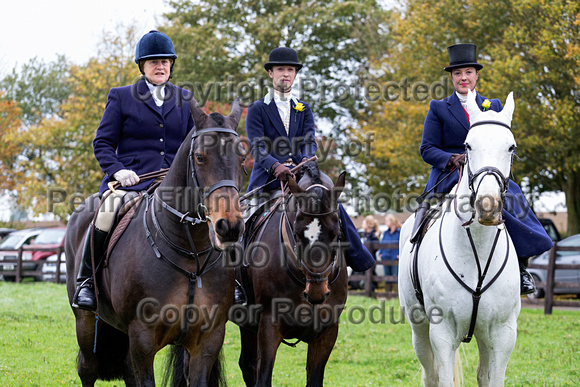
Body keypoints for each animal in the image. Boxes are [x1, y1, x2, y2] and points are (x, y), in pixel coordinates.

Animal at [65, 98, 245, 387]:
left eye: (242, 158)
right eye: (200, 157)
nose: (229, 227)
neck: (190, 253)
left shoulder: (208, 340)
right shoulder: (143, 338)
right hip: (85, 321)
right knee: (88, 368)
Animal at [237, 162, 348, 386]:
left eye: (335, 233)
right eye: (297, 233)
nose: (316, 291)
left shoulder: (327, 332)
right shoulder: (269, 325)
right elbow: (264, 379)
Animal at [398, 90, 520, 384]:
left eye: (511, 147)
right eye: (468, 146)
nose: (487, 206)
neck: (478, 249)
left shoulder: (503, 335)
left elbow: (492, 379)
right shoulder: (442, 334)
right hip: (420, 330)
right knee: (429, 374)